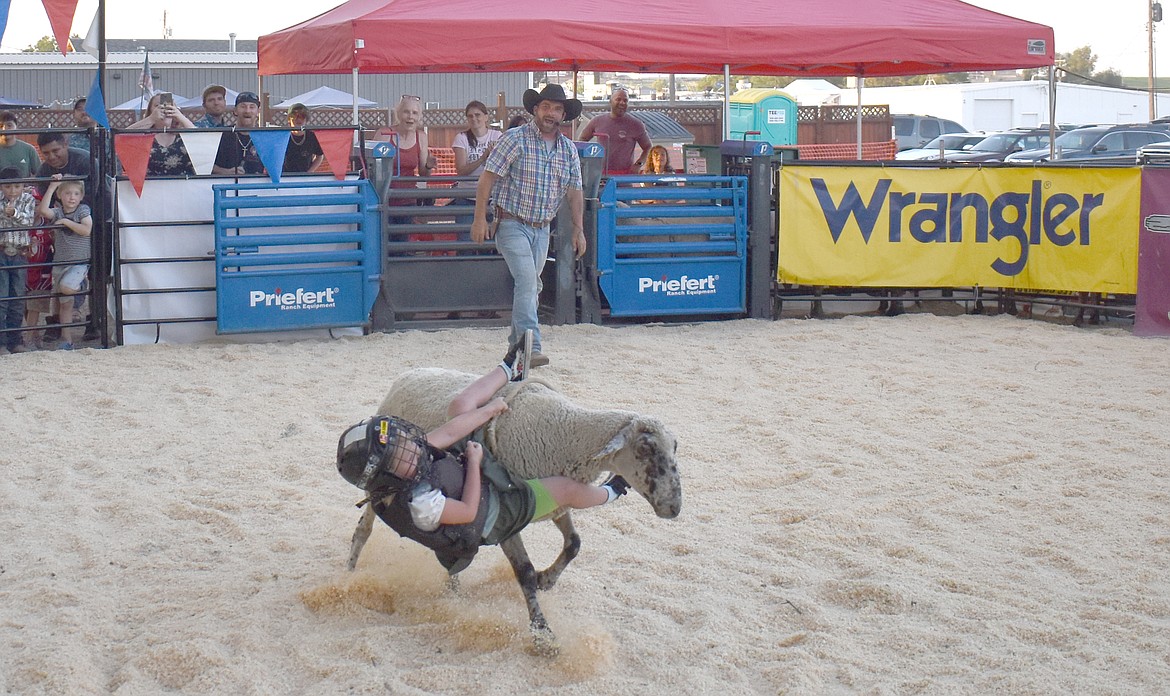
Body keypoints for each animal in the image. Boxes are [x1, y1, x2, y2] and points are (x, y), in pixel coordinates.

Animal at [341, 367, 683, 655]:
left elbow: (573, 543)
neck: (568, 435)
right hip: (379, 488)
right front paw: (543, 635)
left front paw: (549, 580)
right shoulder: (509, 518)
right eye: (645, 448)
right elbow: (525, 573)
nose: (673, 507)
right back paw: (349, 576)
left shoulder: (554, 501)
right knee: (364, 528)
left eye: (675, 446)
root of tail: (409, 374)